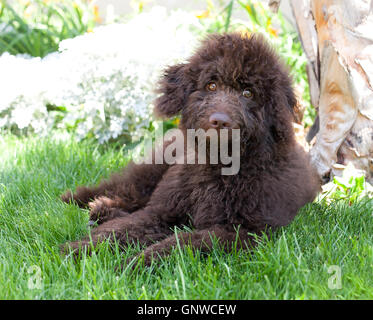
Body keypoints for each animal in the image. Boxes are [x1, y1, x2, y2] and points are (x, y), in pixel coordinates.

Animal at [61, 33, 320, 266]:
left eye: (248, 93)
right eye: (211, 85)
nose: (220, 120)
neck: (220, 169)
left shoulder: (242, 232)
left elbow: (183, 242)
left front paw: (135, 263)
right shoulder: (160, 211)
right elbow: (121, 230)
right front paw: (77, 250)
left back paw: (103, 211)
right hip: (152, 171)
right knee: (123, 188)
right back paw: (79, 201)